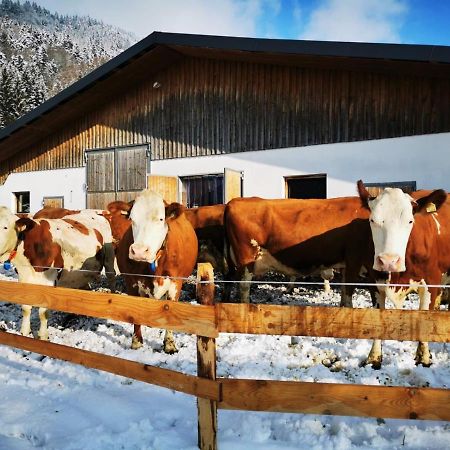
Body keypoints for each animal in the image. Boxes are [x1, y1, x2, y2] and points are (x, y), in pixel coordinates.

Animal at [0, 206, 116, 340]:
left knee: (111, 276)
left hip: (109, 257)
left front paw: (43, 336)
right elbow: (26, 308)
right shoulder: (24, 278)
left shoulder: (49, 280)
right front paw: (24, 332)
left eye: (5, 227)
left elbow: (43, 312)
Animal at [114, 188, 197, 354]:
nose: (139, 251)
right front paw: (136, 342)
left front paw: (169, 344)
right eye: (132, 219)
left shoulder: (175, 283)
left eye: (160, 219)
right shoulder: (131, 282)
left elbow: (169, 310)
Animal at [356, 181, 448, 368]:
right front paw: (374, 357)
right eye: (372, 220)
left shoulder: (431, 281)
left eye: (410, 220)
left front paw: (424, 358)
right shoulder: (374, 281)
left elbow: (424, 318)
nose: (389, 261)